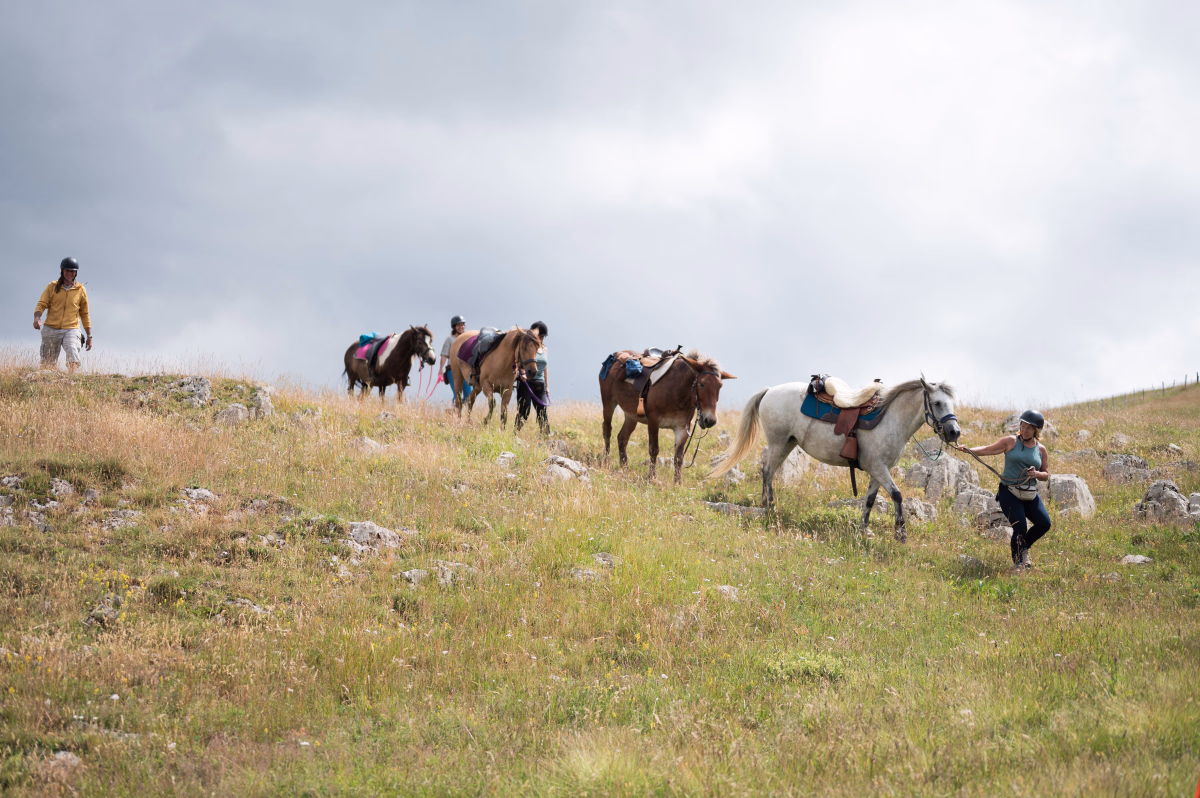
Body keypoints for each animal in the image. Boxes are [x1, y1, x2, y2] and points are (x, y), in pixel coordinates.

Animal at [600, 350, 736, 483]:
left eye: (720, 386)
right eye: (701, 384)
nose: (710, 420)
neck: (677, 392)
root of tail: (617, 354)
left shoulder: (682, 428)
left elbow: (678, 457)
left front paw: (677, 483)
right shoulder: (653, 422)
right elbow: (654, 450)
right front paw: (652, 478)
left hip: (631, 415)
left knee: (622, 438)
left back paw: (625, 468)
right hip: (608, 402)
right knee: (607, 430)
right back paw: (606, 462)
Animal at [708, 378, 961, 542]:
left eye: (951, 403)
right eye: (937, 403)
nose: (954, 432)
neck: (890, 417)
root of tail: (770, 390)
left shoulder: (878, 470)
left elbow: (870, 500)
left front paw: (864, 529)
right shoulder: (878, 467)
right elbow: (897, 495)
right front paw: (900, 533)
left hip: (787, 443)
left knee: (768, 470)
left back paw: (766, 504)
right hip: (778, 442)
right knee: (768, 470)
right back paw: (769, 506)